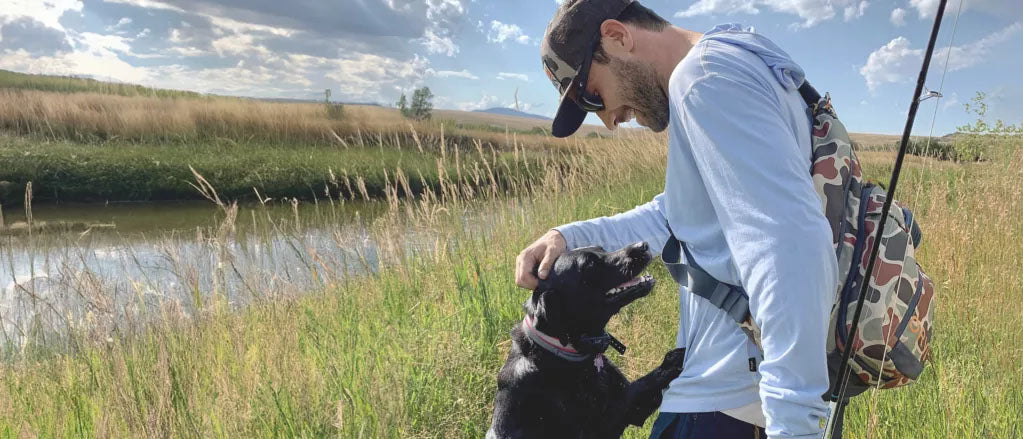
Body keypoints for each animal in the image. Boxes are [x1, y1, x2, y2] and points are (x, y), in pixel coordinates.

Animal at [487, 242, 686, 438]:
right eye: (589, 264)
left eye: (601, 248)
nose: (643, 245)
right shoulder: (612, 416)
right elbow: (650, 379)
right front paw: (677, 359)